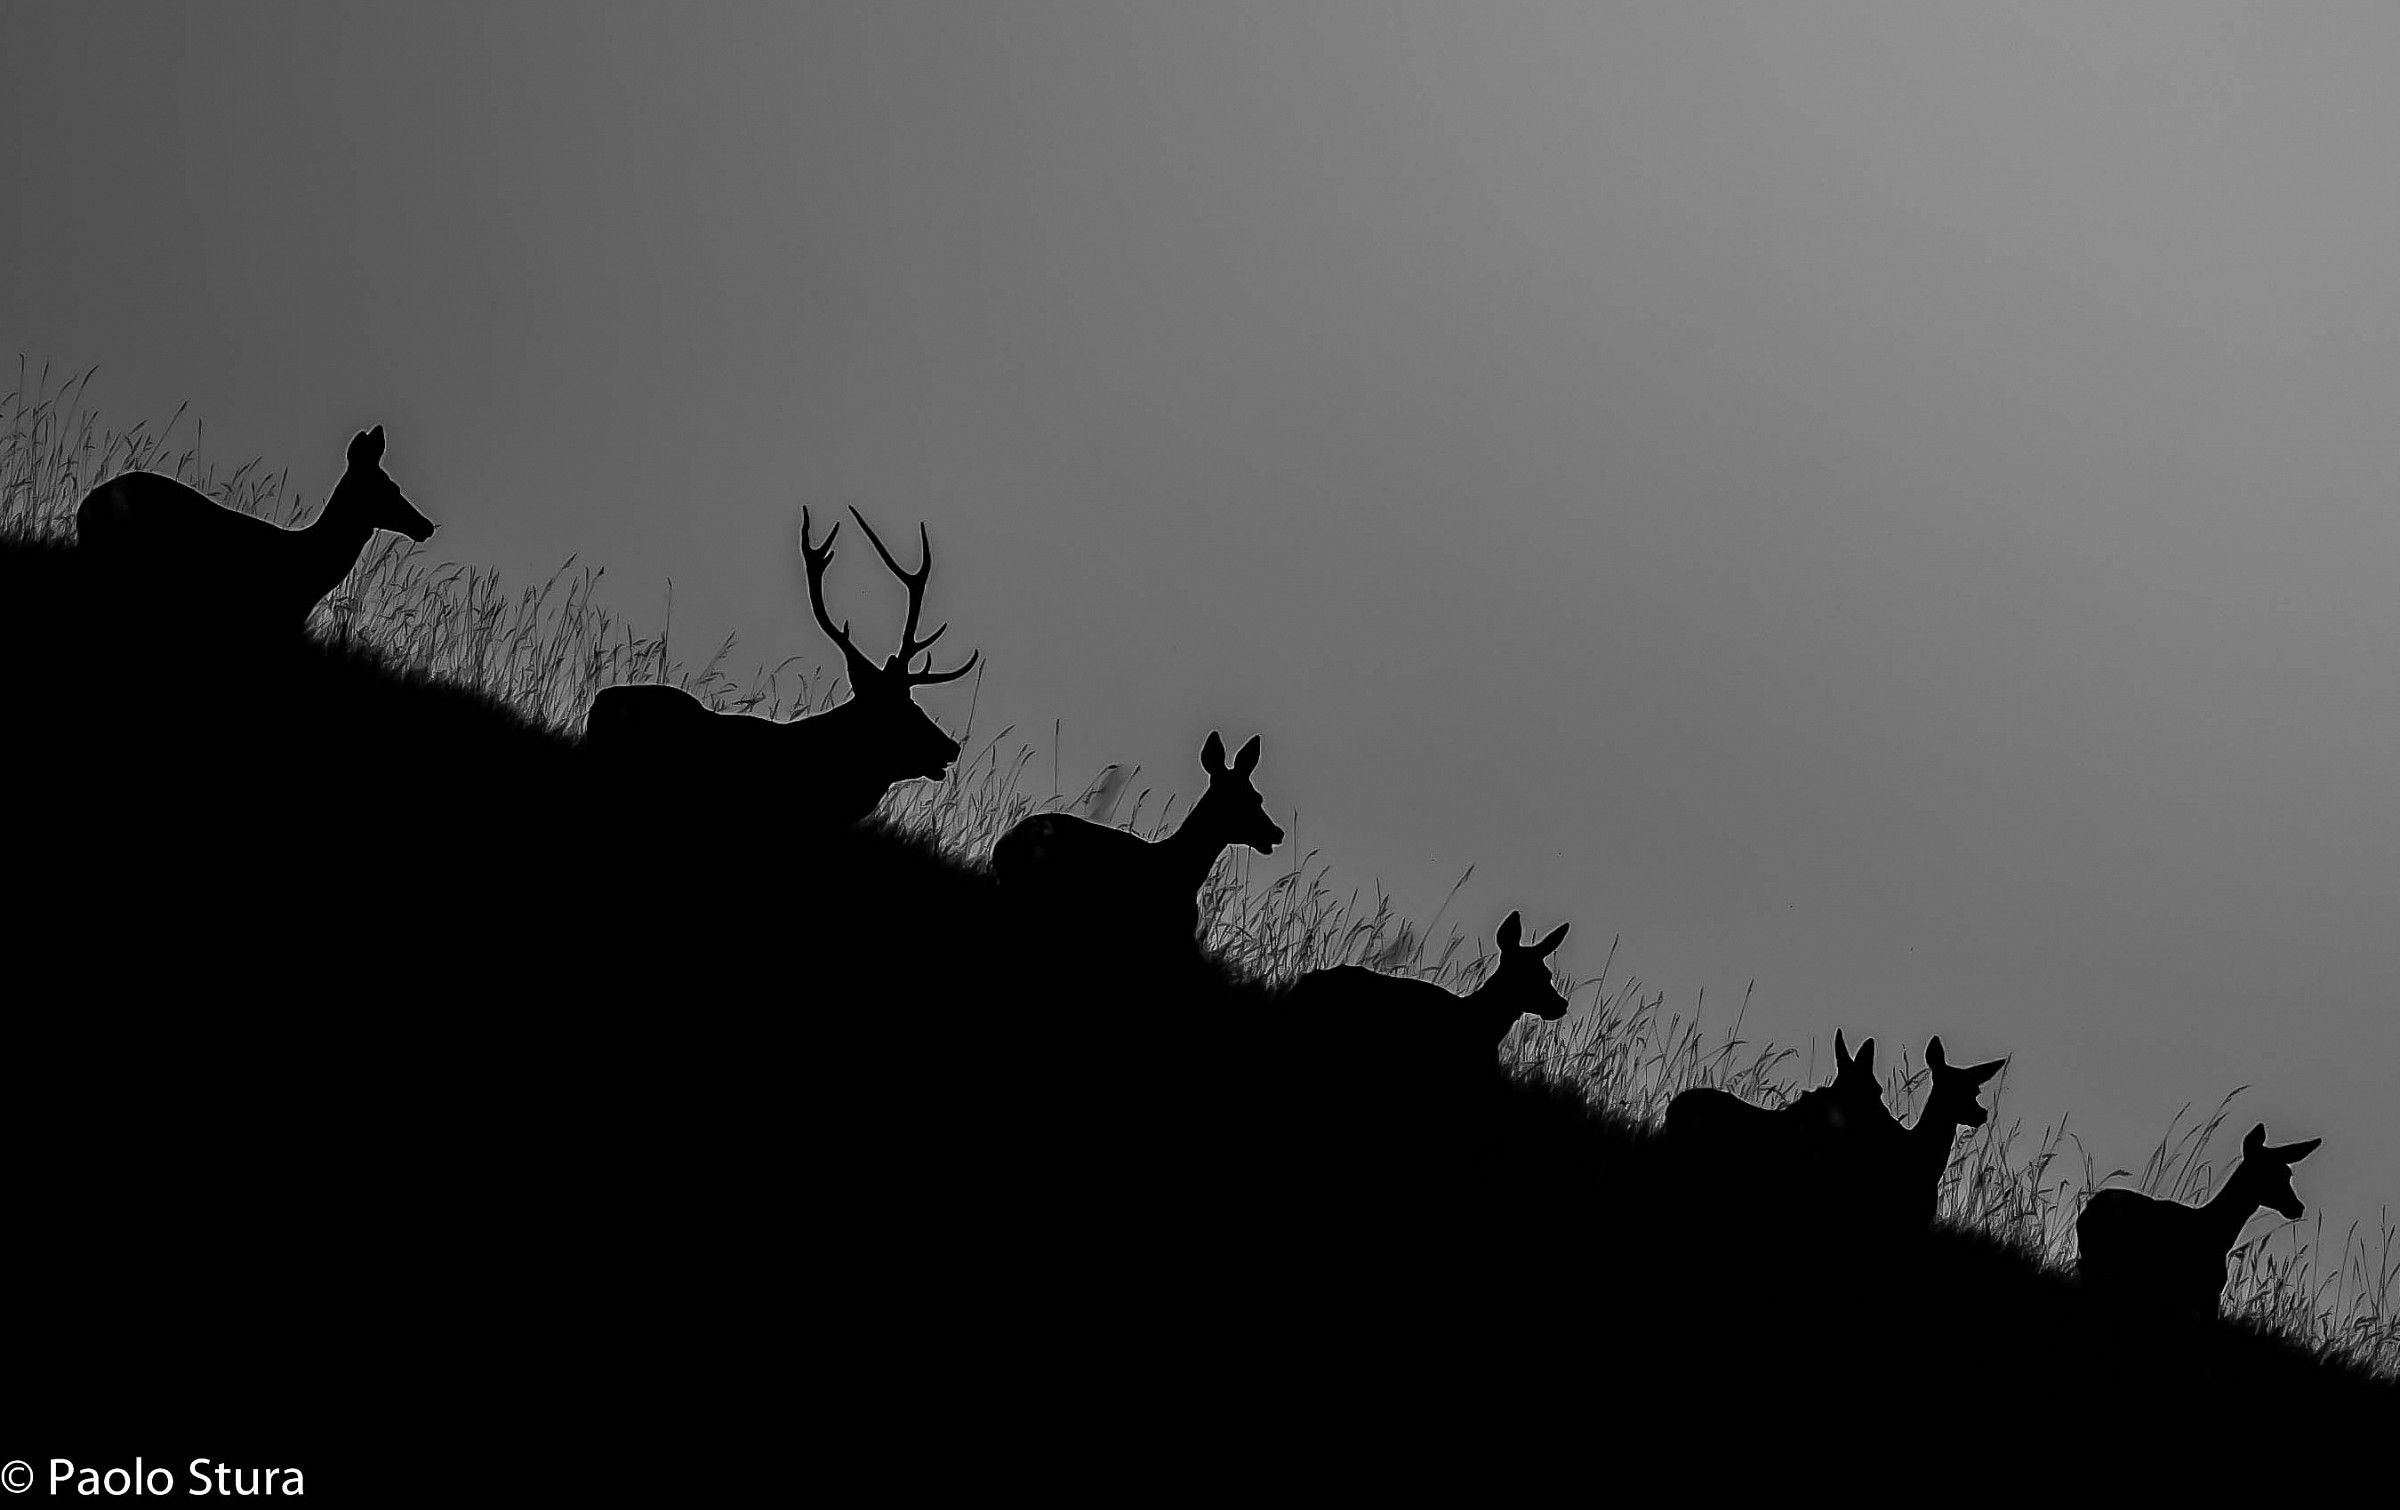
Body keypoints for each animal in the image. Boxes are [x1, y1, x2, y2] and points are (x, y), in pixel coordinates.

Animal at [2076, 1122, 2322, 1319]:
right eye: (2265, 1172)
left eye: (2288, 1173)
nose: (2297, 1207)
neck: (2214, 1232)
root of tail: (2092, 1207)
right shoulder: (2203, 1292)